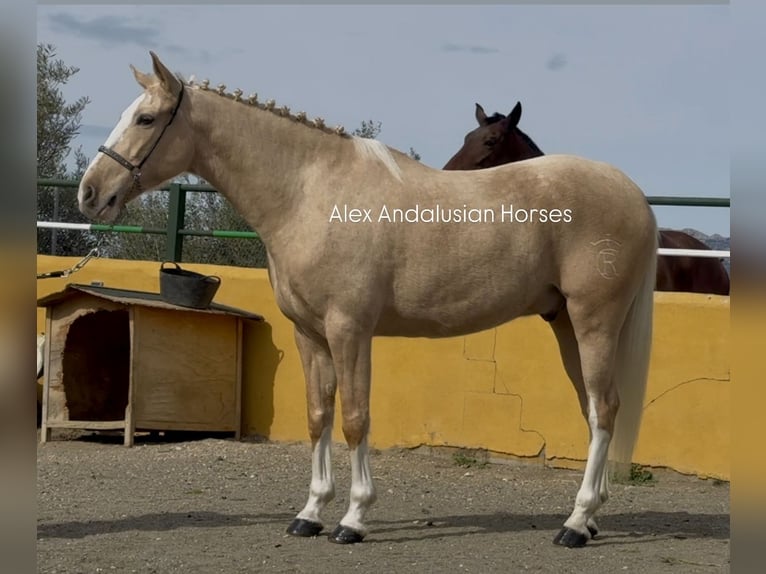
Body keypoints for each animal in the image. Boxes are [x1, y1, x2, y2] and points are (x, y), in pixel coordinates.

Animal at [76, 53, 660, 548]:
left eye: (146, 119)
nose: (88, 193)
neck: (311, 193)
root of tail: (633, 194)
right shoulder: (309, 334)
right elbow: (318, 416)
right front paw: (310, 514)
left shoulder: (349, 329)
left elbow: (355, 418)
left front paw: (353, 519)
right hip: (565, 324)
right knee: (594, 411)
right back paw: (589, 518)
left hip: (594, 322)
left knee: (604, 410)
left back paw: (576, 525)